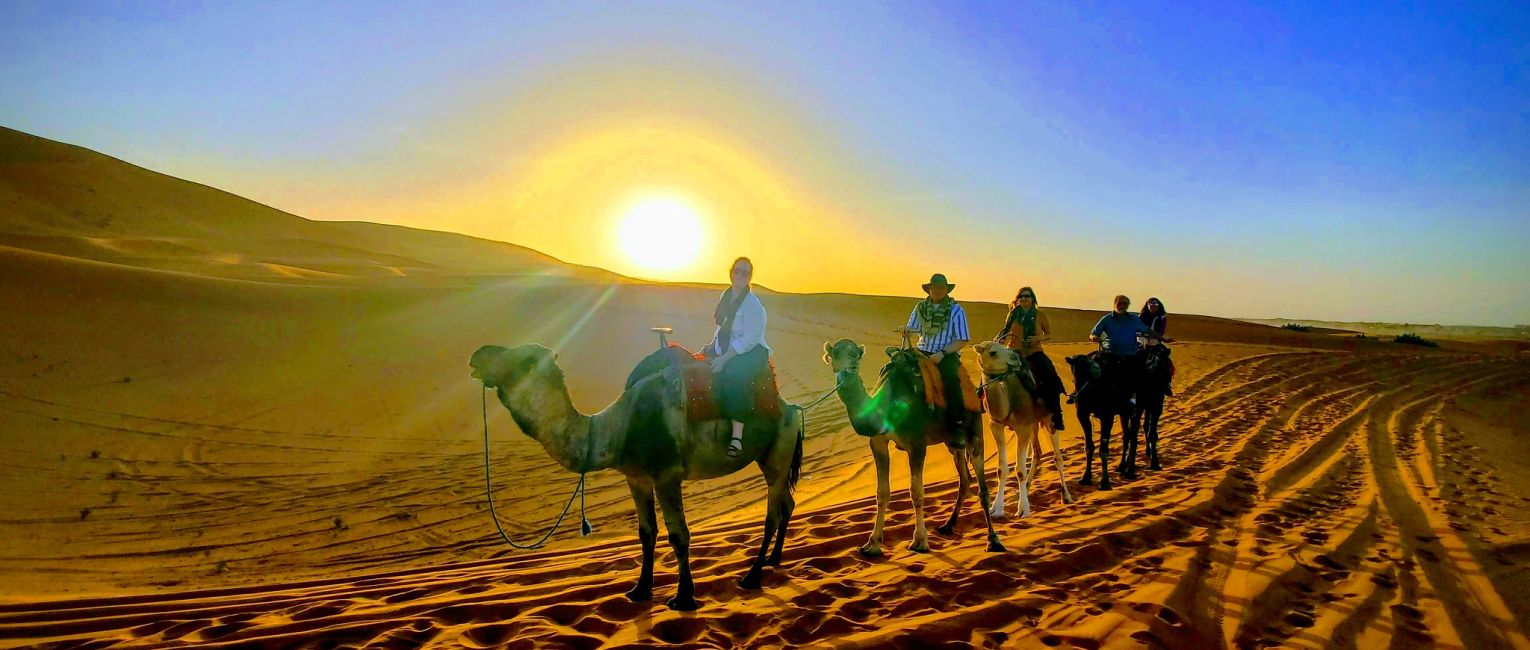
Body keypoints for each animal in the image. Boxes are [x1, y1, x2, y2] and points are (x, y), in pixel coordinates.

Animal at [465, 342, 801, 611]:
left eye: (523, 359)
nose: (478, 355)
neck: (618, 428)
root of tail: (791, 407)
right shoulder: (636, 477)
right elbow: (646, 533)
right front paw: (640, 590)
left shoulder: (667, 474)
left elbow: (679, 535)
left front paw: (684, 598)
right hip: (770, 458)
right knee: (787, 504)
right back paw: (773, 560)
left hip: (778, 453)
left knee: (772, 513)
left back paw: (752, 576)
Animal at [826, 336, 1003, 553]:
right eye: (834, 354)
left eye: (857, 355)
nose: (848, 369)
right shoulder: (877, 442)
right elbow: (882, 493)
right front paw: (872, 544)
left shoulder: (917, 443)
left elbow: (917, 492)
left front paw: (920, 542)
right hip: (952, 442)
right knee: (965, 478)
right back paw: (948, 525)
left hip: (975, 428)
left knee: (982, 486)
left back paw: (993, 540)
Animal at [973, 339, 1071, 516]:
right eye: (993, 352)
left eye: (1004, 346)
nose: (1016, 359)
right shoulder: (996, 425)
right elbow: (1002, 469)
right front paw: (996, 508)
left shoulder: (1022, 427)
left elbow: (1019, 470)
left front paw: (1023, 509)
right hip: (1033, 424)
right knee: (1037, 453)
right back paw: (1027, 488)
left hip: (1049, 419)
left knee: (1057, 457)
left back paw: (1066, 496)